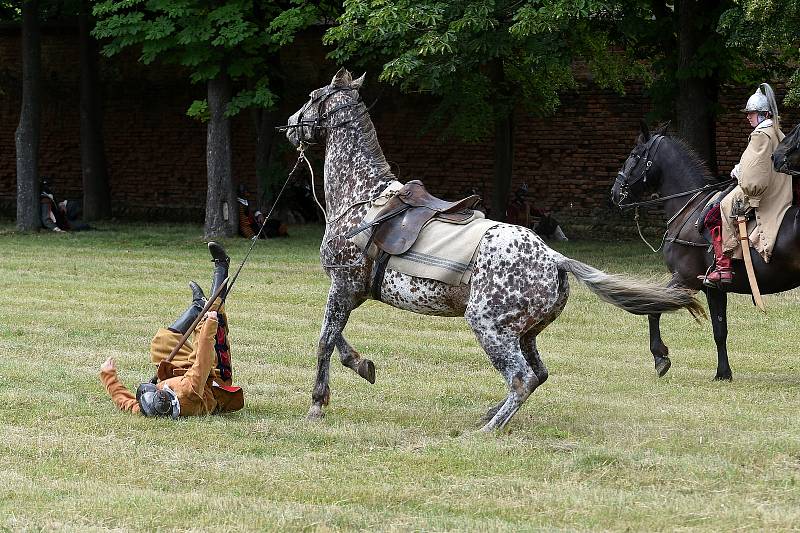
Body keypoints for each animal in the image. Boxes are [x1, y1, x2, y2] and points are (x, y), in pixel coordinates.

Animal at [284, 68, 704, 430]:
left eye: (313, 96)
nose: (290, 125)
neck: (363, 198)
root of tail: (555, 259)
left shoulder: (342, 286)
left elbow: (324, 340)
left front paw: (318, 403)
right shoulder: (351, 292)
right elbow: (334, 337)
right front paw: (361, 365)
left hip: (489, 326)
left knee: (521, 378)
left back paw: (487, 429)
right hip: (525, 334)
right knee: (538, 374)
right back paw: (490, 414)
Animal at [612, 121, 800, 378]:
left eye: (634, 155)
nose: (614, 192)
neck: (688, 208)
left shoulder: (687, 278)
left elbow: (656, 308)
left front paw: (661, 357)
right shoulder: (714, 289)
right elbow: (720, 329)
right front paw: (724, 372)